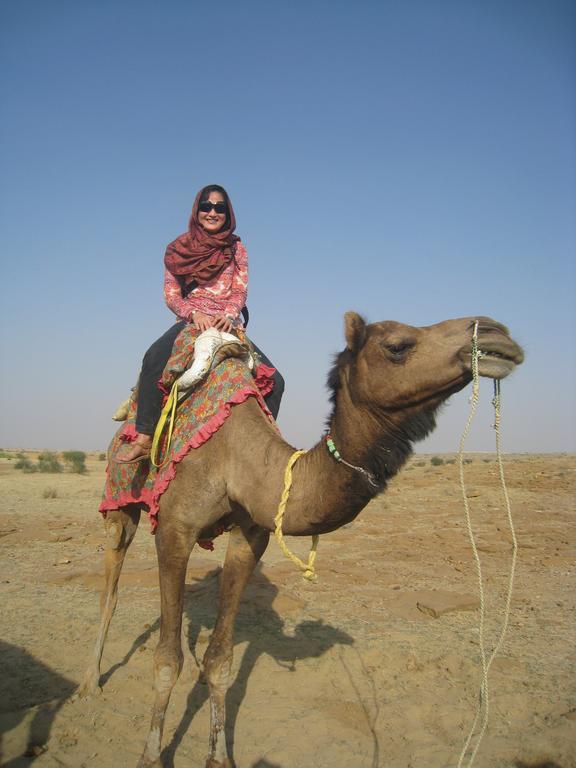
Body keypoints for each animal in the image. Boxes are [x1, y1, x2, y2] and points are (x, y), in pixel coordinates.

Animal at [79, 314, 524, 768]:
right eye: (398, 346)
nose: (496, 334)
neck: (236, 460)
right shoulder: (174, 531)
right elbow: (167, 660)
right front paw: (151, 757)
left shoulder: (249, 539)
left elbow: (221, 658)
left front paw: (219, 756)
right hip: (122, 505)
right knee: (110, 586)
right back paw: (89, 682)